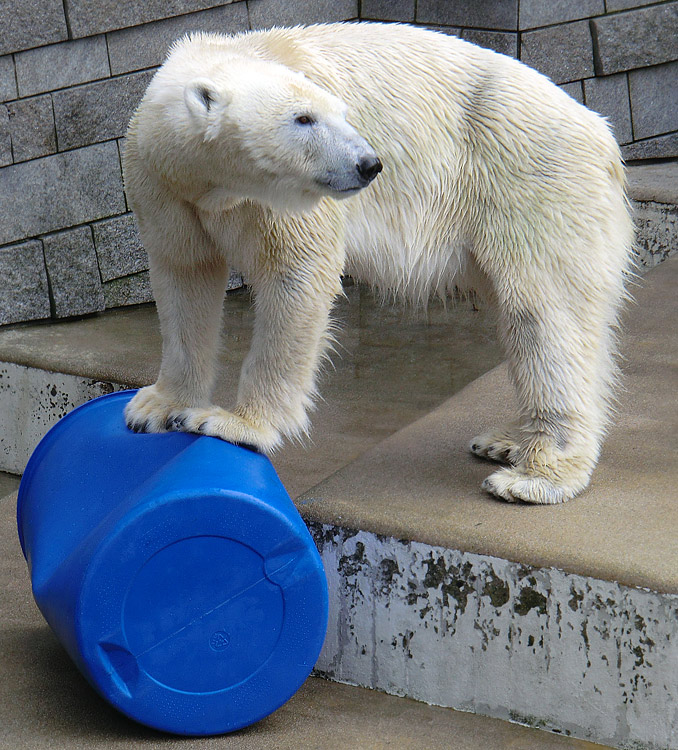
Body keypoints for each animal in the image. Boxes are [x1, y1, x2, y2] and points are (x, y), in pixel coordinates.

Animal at [123, 23, 636, 506]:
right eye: (303, 118)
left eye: (341, 113)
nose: (368, 164)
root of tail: (604, 136)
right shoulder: (162, 185)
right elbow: (184, 278)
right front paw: (154, 407)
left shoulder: (277, 203)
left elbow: (296, 275)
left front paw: (235, 423)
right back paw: (506, 440)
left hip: (531, 183)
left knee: (544, 315)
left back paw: (534, 475)